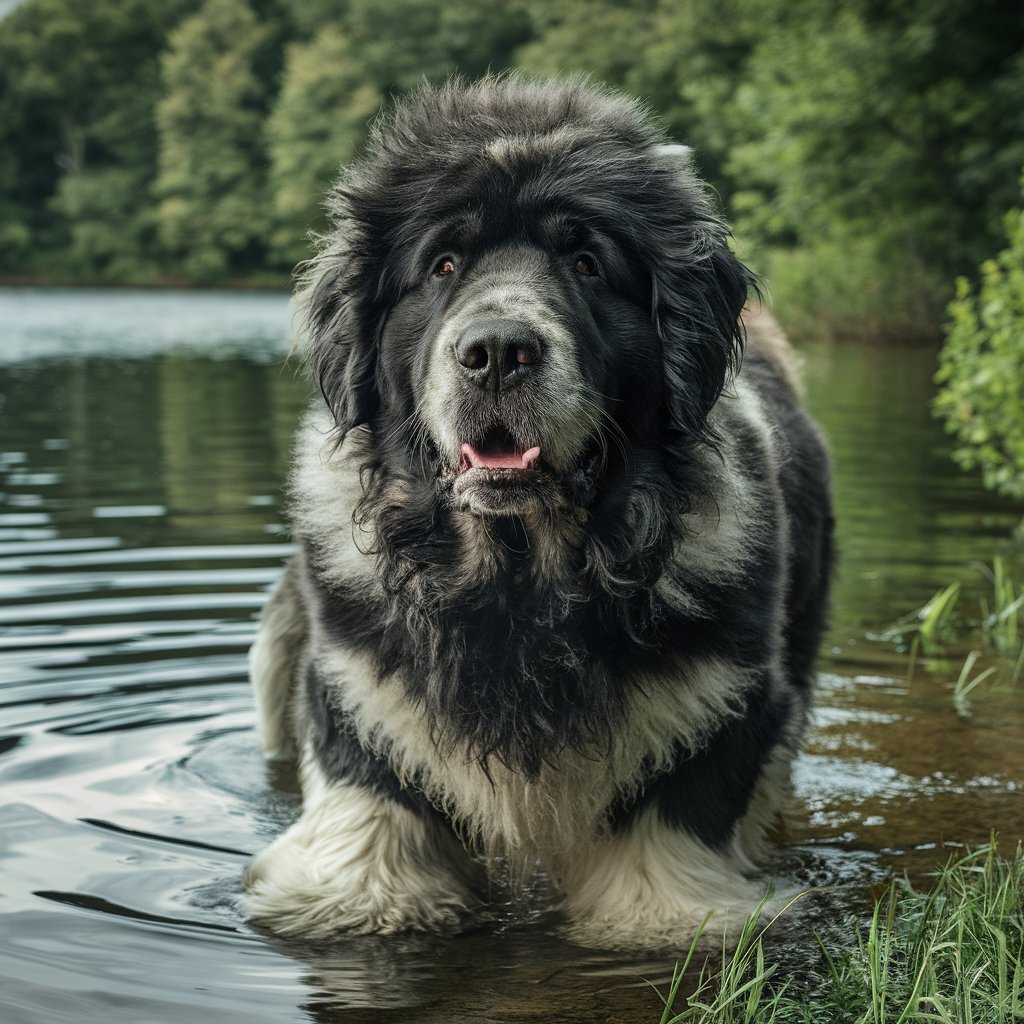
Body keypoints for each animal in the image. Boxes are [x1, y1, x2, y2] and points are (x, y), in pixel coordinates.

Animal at [243, 77, 835, 950]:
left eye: (586, 263)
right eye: (443, 263)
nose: (497, 351)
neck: (520, 579)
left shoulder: (724, 699)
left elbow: (676, 819)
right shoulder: (360, 688)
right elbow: (371, 812)